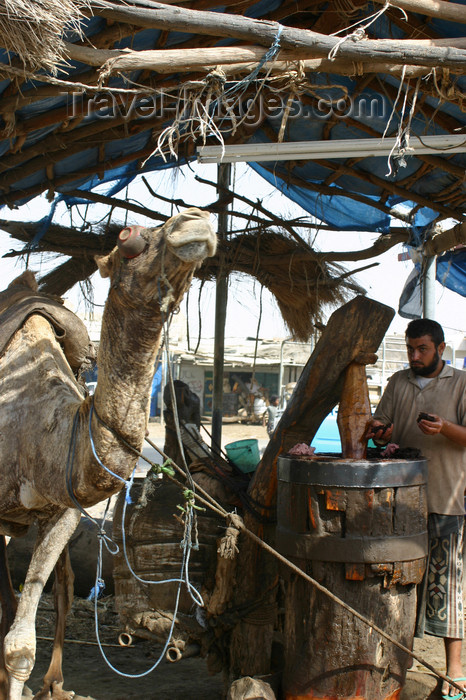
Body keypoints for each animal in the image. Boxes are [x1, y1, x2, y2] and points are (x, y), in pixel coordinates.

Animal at [0, 209, 217, 700]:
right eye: (127, 237)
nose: (198, 220)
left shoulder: (62, 510)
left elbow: (20, 643)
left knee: (58, 589)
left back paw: (56, 684)